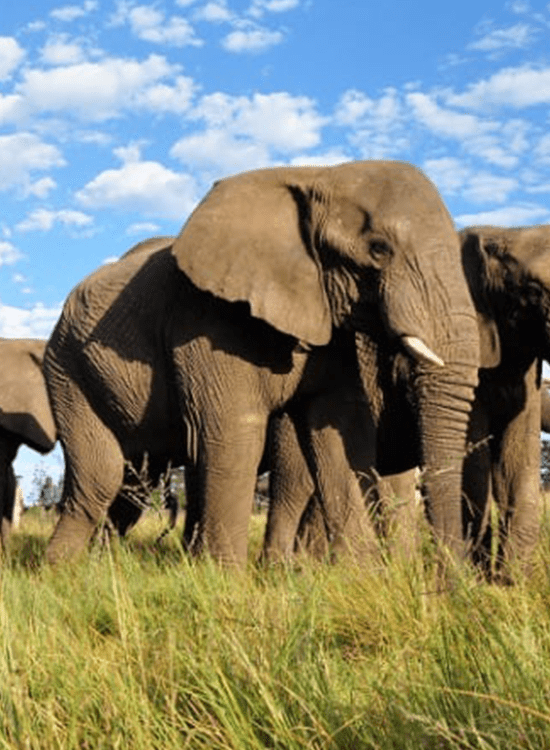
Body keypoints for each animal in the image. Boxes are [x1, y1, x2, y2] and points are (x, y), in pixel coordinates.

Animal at [44, 161, 481, 567]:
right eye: (378, 249)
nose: (450, 583)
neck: (321, 174)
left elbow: (341, 440)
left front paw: (362, 576)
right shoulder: (208, 320)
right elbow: (235, 436)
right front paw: (226, 579)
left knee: (132, 479)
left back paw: (99, 564)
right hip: (66, 369)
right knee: (101, 476)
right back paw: (61, 573)